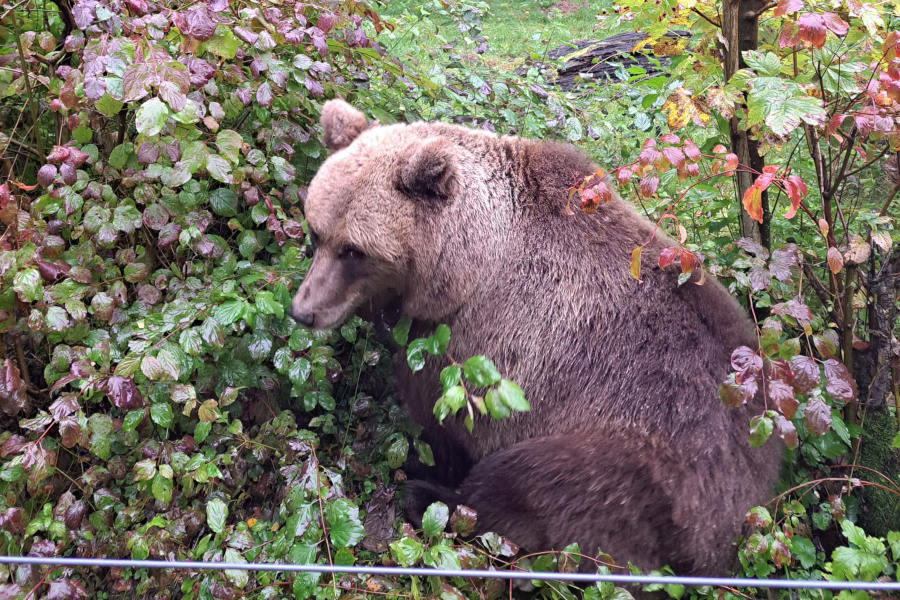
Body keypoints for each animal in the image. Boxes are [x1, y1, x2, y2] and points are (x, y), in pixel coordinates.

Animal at [294, 98, 780, 576]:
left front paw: (425, 463)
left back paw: (428, 497)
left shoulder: (469, 345)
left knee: (533, 483)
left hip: (644, 466)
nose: (304, 311)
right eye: (317, 232)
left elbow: (443, 425)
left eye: (354, 250)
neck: (462, 263)